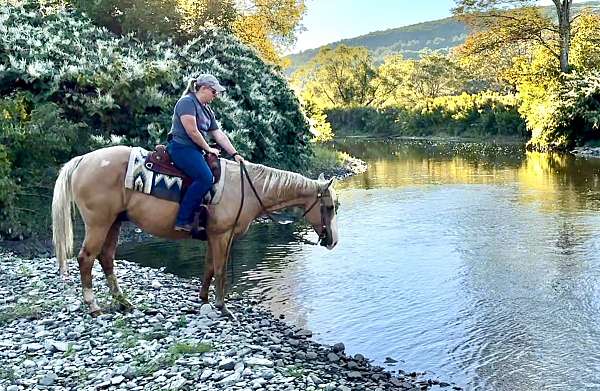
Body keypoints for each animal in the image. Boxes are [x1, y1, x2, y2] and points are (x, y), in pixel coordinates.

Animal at [52, 145, 338, 320]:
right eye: (330, 207)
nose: (333, 242)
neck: (245, 188)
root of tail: (82, 161)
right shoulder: (222, 235)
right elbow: (220, 269)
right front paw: (223, 308)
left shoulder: (215, 236)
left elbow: (209, 267)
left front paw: (203, 300)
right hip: (99, 223)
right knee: (86, 258)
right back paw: (94, 306)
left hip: (114, 222)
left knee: (107, 258)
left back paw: (124, 302)